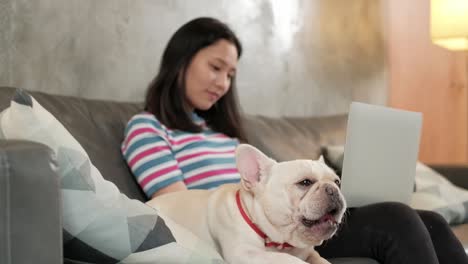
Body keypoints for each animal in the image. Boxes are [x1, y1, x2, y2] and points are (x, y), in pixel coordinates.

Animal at [147, 144, 348, 264]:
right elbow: (291, 261)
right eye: (305, 182)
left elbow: (320, 259)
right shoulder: (245, 253)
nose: (333, 189)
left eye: (337, 182)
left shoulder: (309, 252)